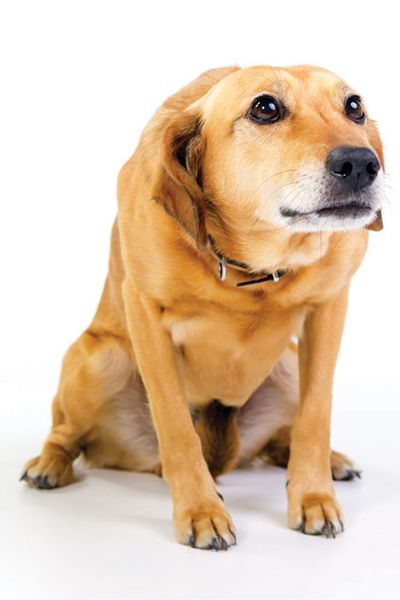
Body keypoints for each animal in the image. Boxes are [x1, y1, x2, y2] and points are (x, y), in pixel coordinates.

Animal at [21, 64, 384, 548]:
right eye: (265, 107)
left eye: (354, 106)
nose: (361, 163)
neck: (251, 271)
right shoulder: (144, 314)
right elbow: (175, 425)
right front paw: (200, 510)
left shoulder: (329, 308)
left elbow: (314, 415)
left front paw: (313, 495)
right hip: (103, 360)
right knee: (66, 432)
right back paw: (49, 463)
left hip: (288, 365)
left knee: (280, 441)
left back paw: (332, 460)